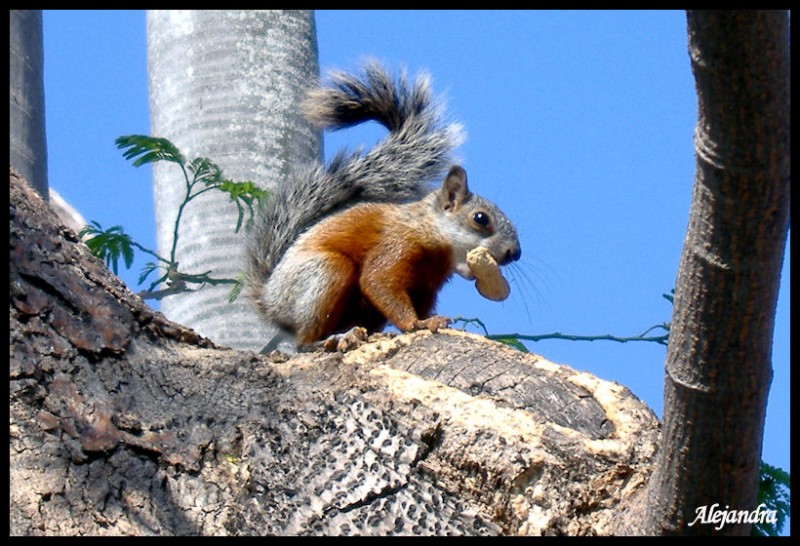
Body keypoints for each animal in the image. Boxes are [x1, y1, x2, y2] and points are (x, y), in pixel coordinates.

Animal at [245, 61, 520, 350]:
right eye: (480, 218)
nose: (515, 253)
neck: (430, 232)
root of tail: (270, 303)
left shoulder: (427, 286)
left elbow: (420, 304)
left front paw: (429, 320)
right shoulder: (396, 244)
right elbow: (379, 282)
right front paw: (417, 324)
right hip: (323, 272)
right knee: (304, 340)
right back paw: (324, 341)